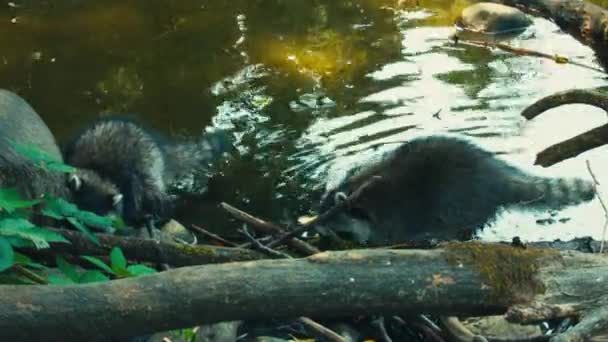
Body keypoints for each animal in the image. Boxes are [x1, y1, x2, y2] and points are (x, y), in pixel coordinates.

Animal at [63, 115, 235, 230]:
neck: (101, 173)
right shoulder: (73, 156)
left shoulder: (128, 180)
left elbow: (132, 200)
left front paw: (134, 218)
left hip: (150, 163)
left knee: (154, 192)